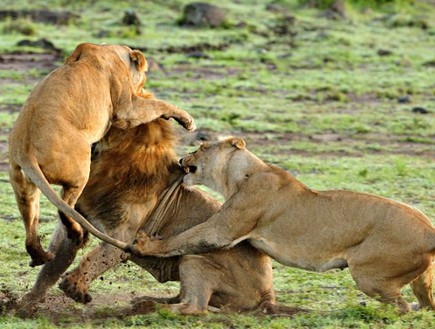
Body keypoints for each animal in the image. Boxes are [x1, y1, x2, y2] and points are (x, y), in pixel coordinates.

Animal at [7, 41, 195, 266]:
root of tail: (26, 152)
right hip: (80, 170)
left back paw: (40, 257)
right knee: (65, 207)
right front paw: (187, 120)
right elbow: (157, 104)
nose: (142, 89)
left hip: (24, 188)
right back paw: (77, 236)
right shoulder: (126, 110)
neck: (109, 51)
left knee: (31, 226)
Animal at [18, 100, 302, 316]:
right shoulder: (76, 224)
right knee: (184, 298)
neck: (112, 163)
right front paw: (23, 306)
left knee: (195, 306)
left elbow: (95, 258)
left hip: (195, 258)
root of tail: (269, 294)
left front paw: (74, 286)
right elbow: (50, 270)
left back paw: (146, 307)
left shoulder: (124, 236)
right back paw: (144, 302)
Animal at [131, 136, 435, 312]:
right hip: (418, 280)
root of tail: (428, 231)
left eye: (202, 147)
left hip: (369, 276)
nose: (183, 159)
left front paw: (145, 244)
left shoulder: (224, 230)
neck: (239, 174)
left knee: (401, 307)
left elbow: (185, 238)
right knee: (425, 306)